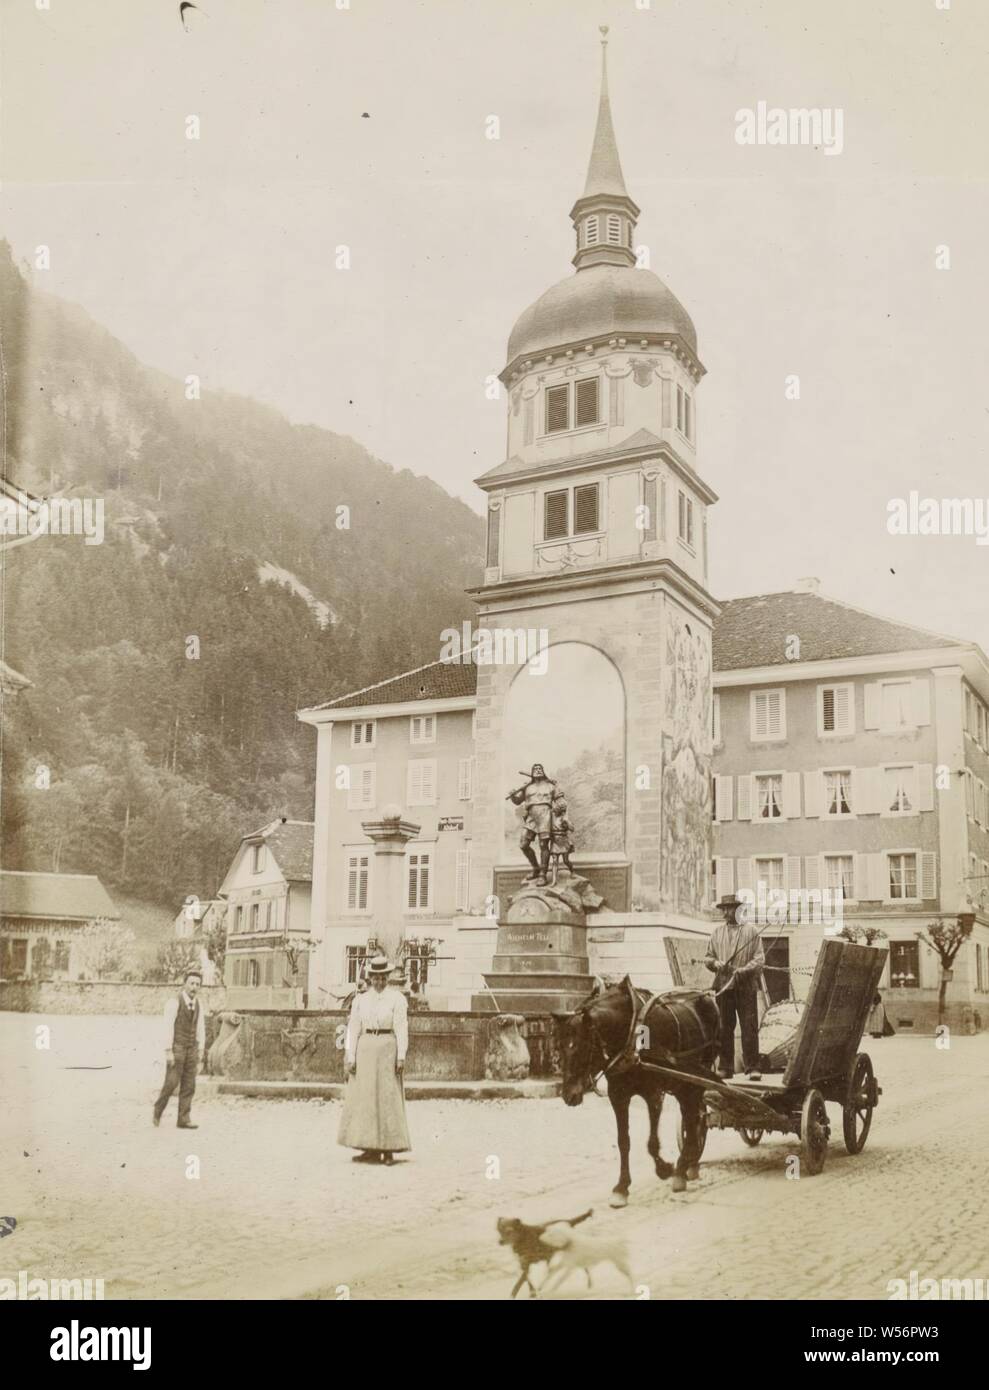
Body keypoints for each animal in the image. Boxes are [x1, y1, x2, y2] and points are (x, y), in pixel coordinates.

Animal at [555, 978, 716, 1206]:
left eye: (582, 1047)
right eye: (560, 1047)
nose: (569, 1095)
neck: (631, 1035)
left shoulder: (653, 1094)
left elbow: (652, 1143)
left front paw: (664, 1169)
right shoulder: (618, 1095)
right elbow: (624, 1141)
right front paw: (621, 1187)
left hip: (696, 1076)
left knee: (693, 1116)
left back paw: (683, 1167)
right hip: (681, 1082)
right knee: (692, 1117)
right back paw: (690, 1164)